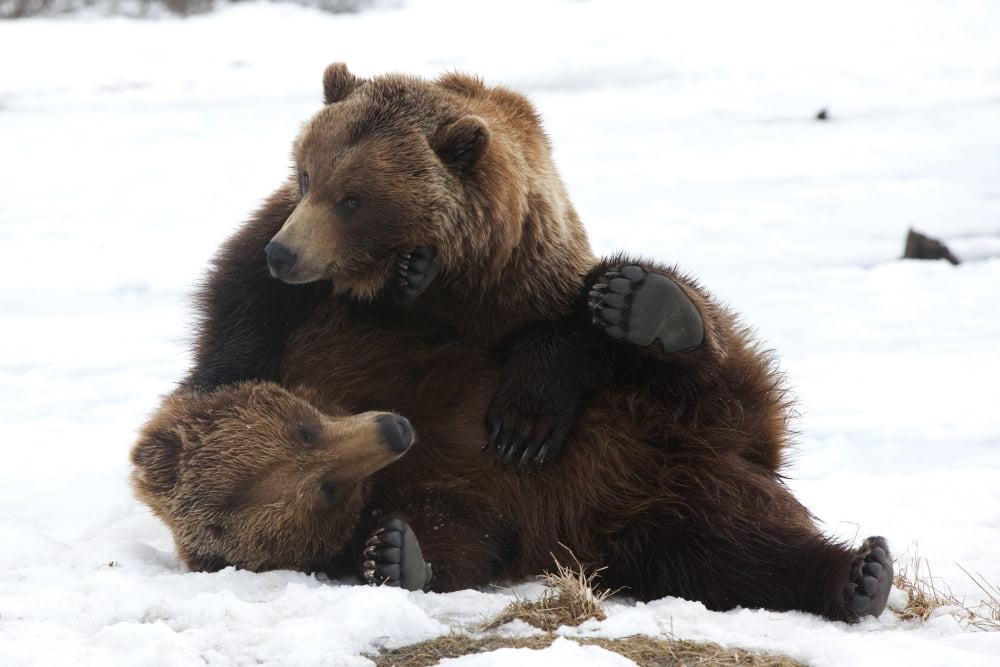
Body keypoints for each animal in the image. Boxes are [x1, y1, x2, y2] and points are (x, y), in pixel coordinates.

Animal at [131, 380, 893, 623]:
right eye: (325, 487)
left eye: (303, 427)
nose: (393, 428)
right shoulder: (459, 502)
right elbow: (461, 537)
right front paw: (395, 553)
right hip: (661, 524)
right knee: (733, 556)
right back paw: (860, 577)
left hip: (676, 431)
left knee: (722, 374)